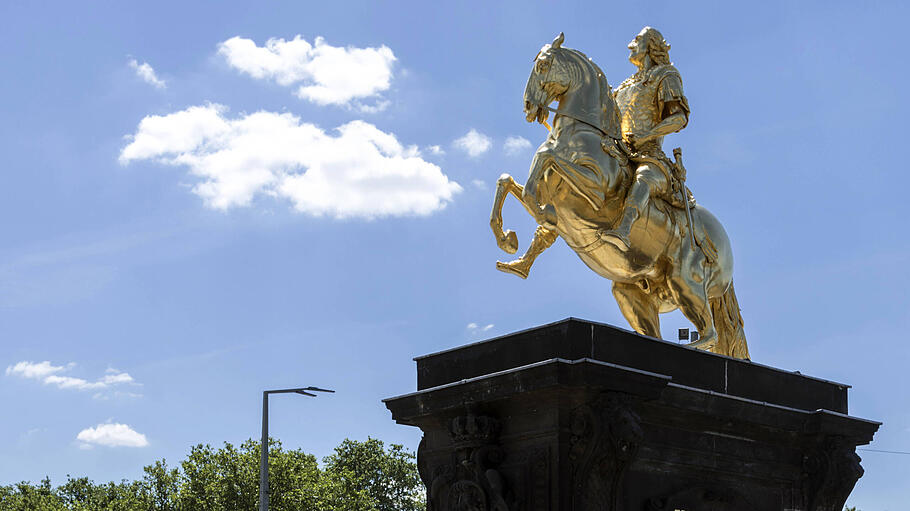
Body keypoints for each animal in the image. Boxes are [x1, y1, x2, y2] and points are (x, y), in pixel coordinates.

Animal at [496, 33, 752, 360]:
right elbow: (507, 182)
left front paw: (540, 211)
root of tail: (723, 241)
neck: (580, 134)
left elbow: (546, 159)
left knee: (709, 335)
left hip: (685, 283)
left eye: (542, 65)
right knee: (663, 332)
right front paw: (508, 240)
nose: (528, 106)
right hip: (630, 292)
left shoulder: (595, 192)